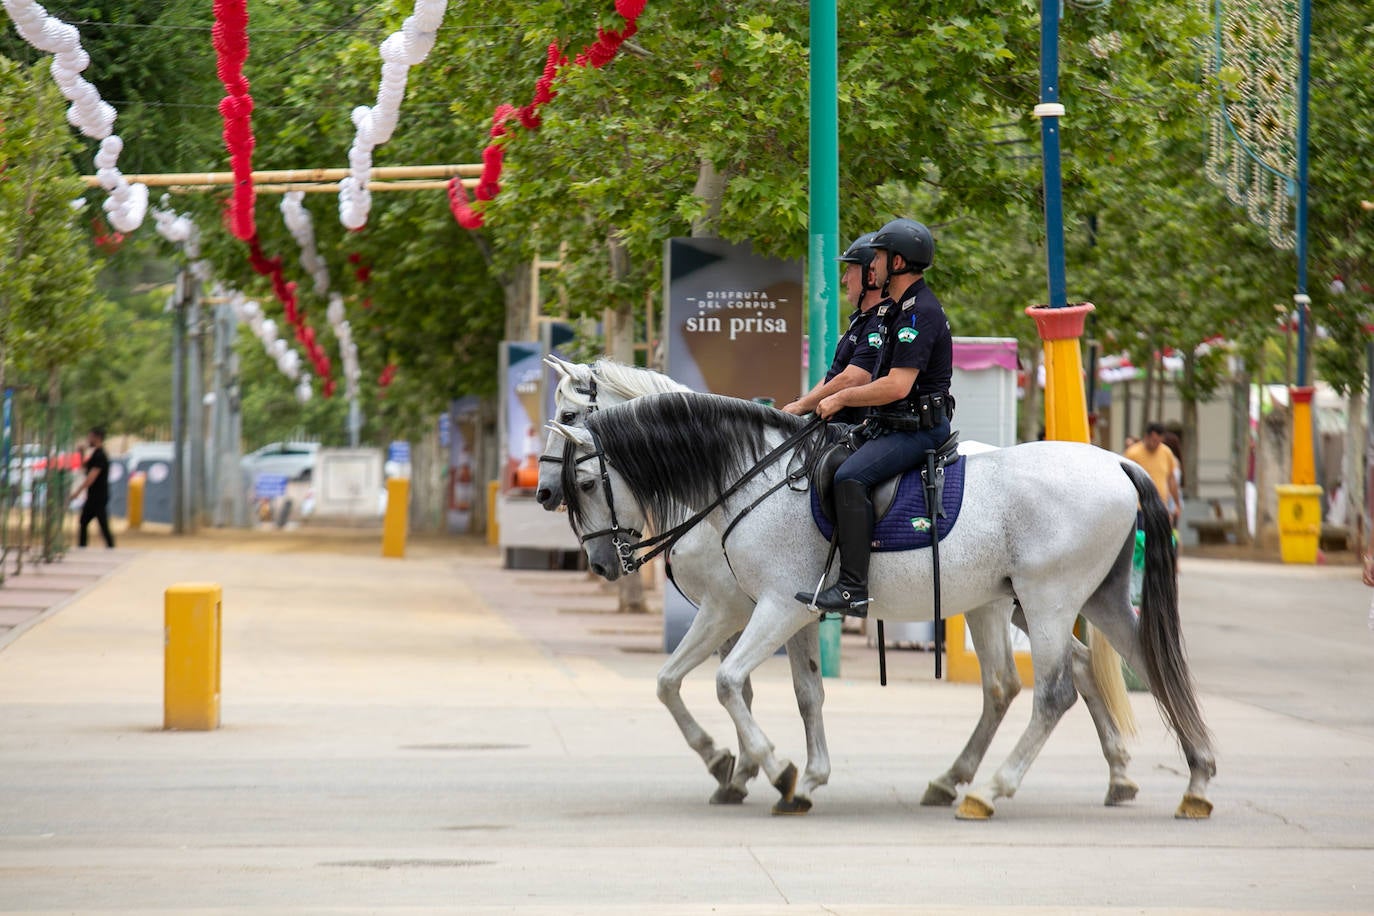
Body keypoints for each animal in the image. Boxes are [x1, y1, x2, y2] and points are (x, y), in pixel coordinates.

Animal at [546, 390, 1214, 818]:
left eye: (586, 481)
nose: (602, 563)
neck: (751, 480)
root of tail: (1117, 462)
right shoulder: (785, 612)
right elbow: (786, 691)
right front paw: (796, 777)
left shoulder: (758, 609)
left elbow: (728, 683)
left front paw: (768, 766)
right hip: (1074, 601)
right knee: (1129, 668)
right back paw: (1191, 779)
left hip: (1048, 602)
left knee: (1052, 693)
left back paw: (990, 791)